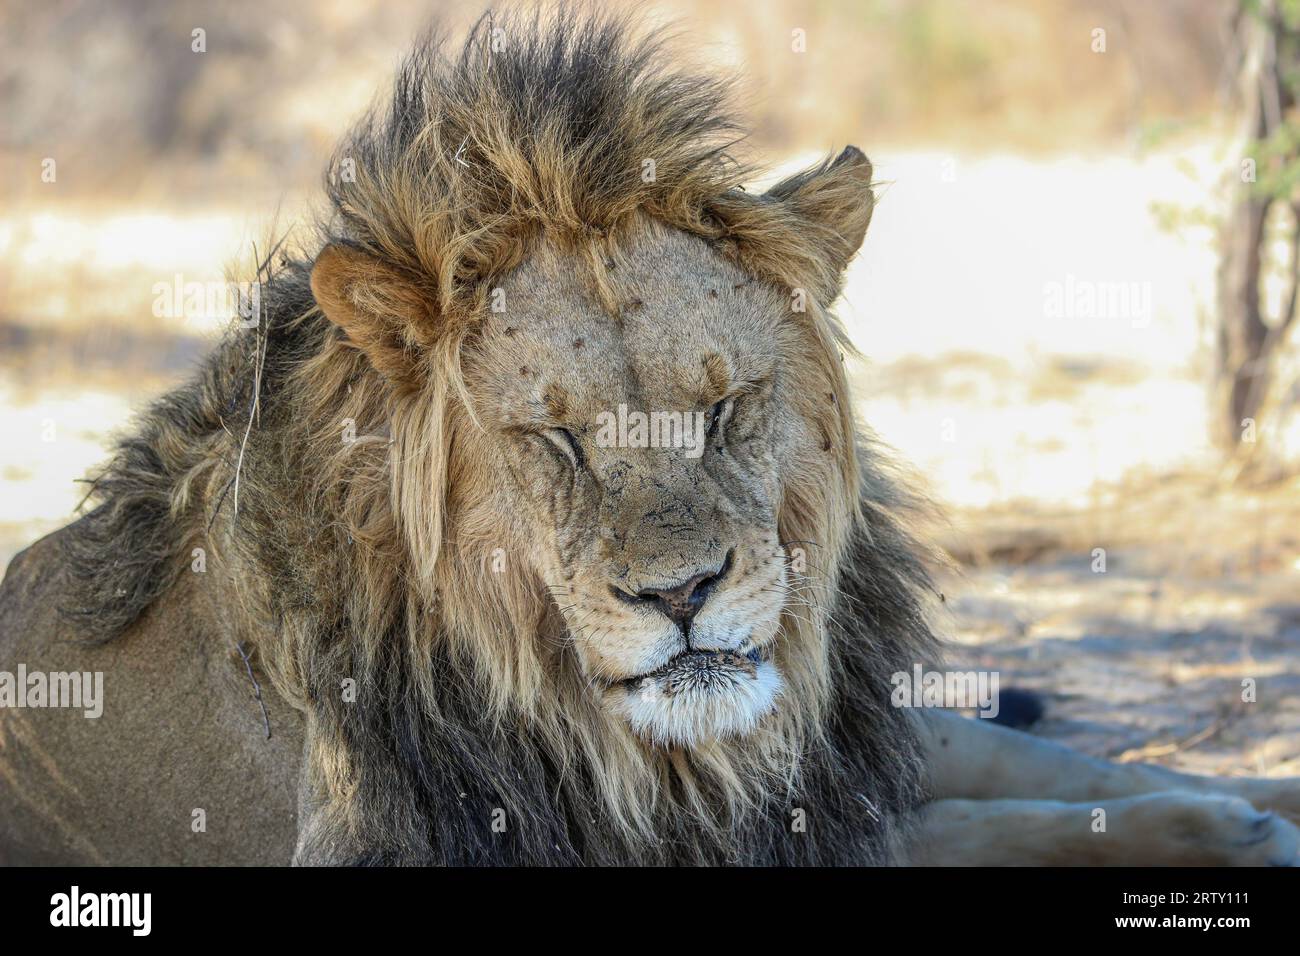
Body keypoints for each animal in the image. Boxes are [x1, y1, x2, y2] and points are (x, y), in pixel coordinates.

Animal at [2, 9, 1300, 868]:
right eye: (556, 441)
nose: (681, 595)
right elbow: (956, 829)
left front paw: (1234, 809)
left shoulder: (828, 740)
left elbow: (988, 762)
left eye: (724, 408)